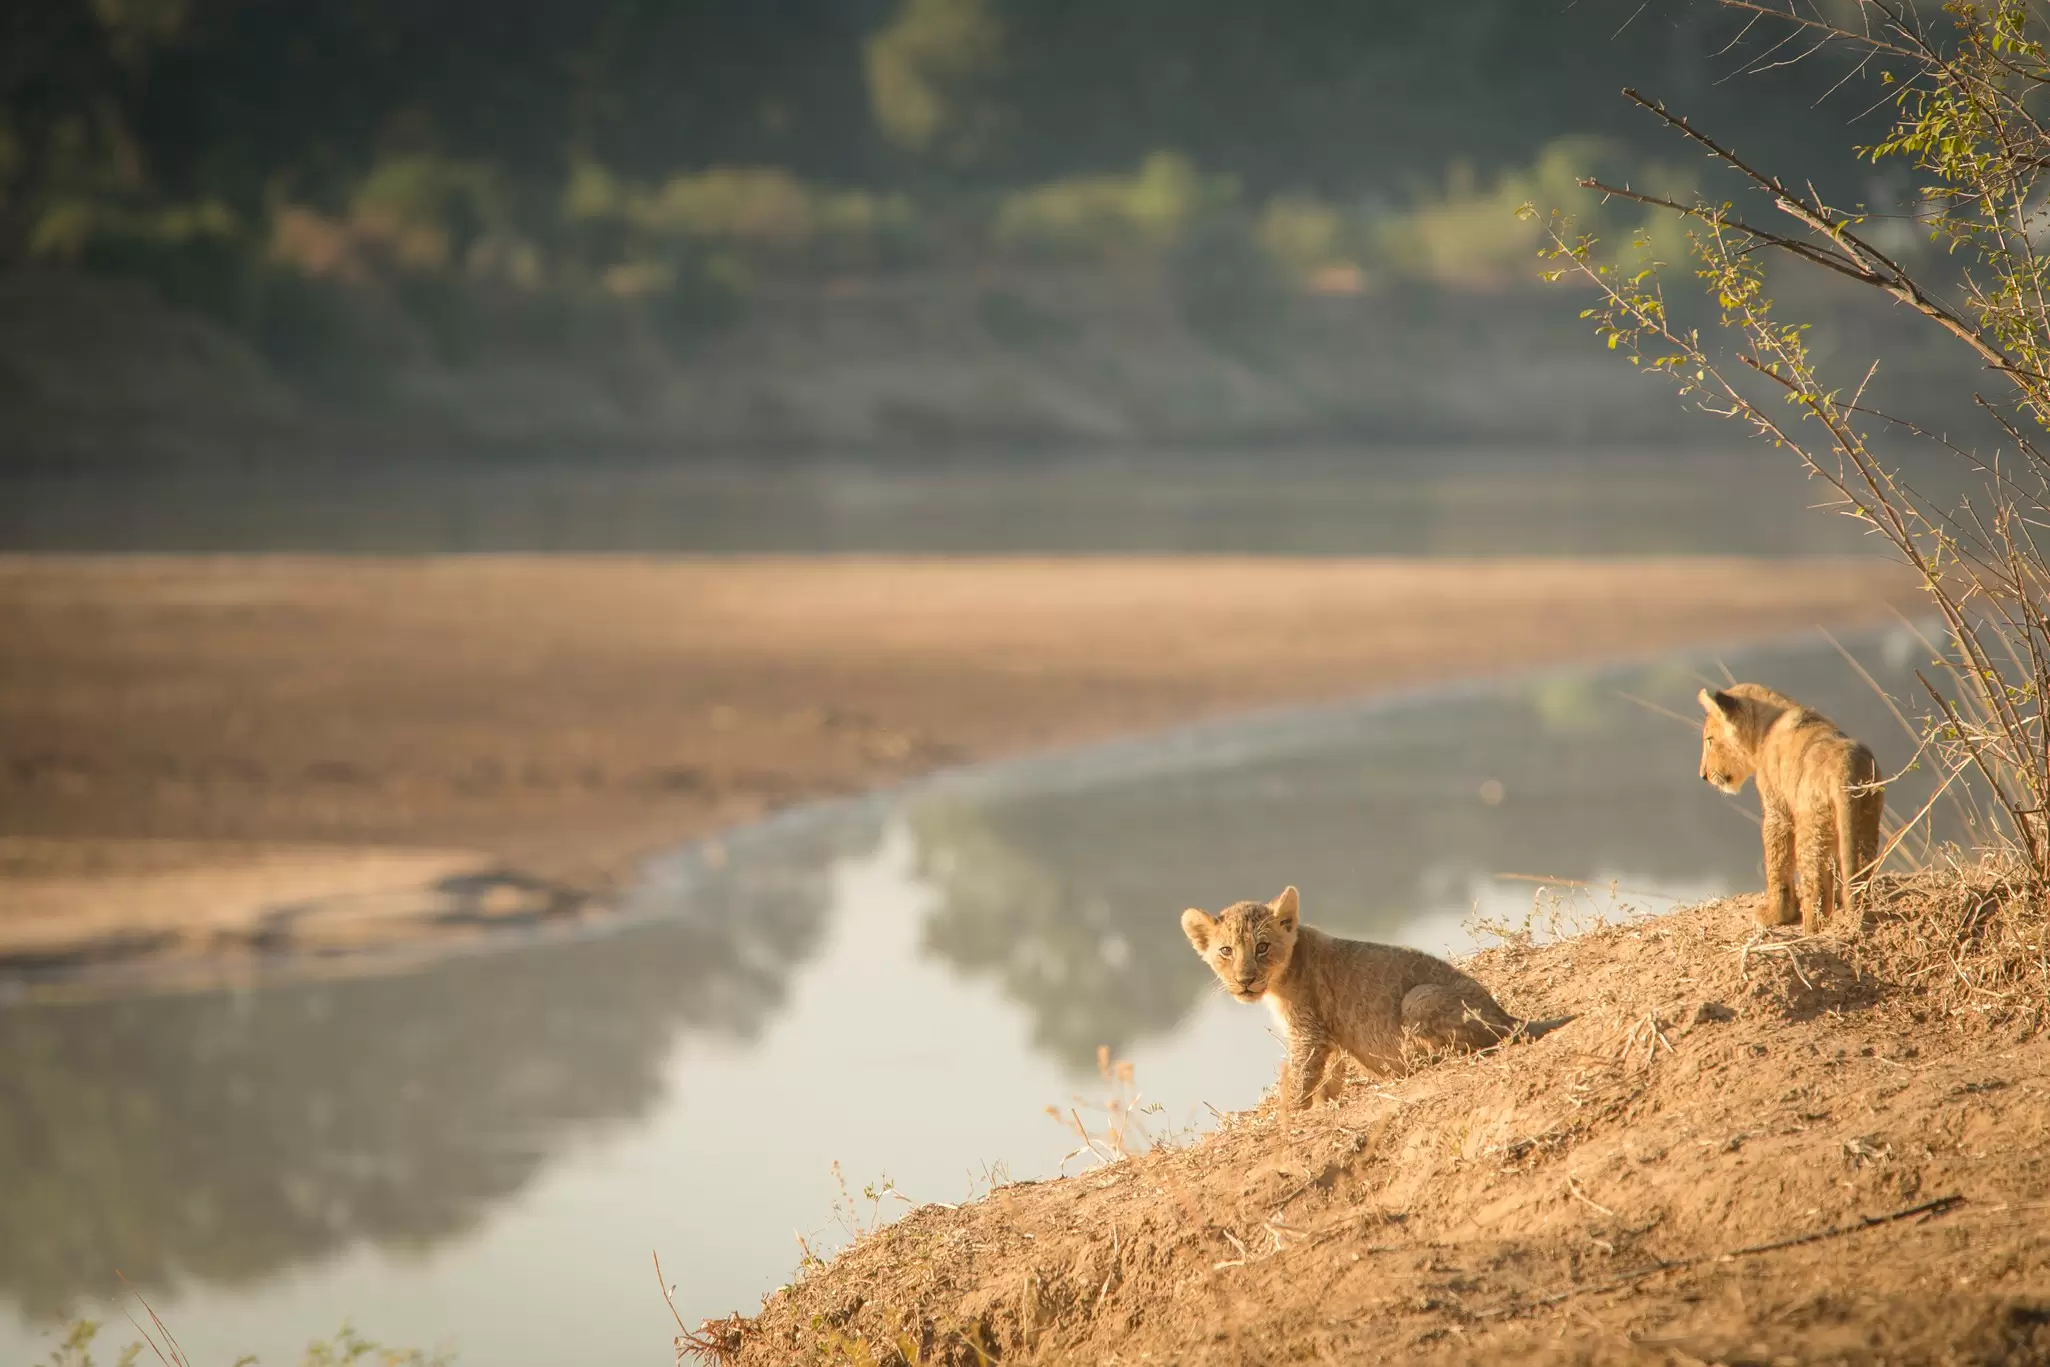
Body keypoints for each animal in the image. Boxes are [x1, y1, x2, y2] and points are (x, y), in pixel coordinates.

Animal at [1180, 886, 1567, 1109]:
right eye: (1226, 951)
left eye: (1261, 947)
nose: (1245, 980)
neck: (1282, 977)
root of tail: (1509, 1015)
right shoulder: (1330, 1032)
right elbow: (1333, 1070)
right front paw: (1326, 1100)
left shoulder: (1309, 1030)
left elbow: (1303, 1074)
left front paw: (1291, 1113)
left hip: (1418, 999)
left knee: (1477, 1045)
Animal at [1698, 682, 1884, 931]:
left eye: (1709, 739)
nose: (1703, 775)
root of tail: (1846, 765)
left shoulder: (1778, 811)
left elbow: (1777, 861)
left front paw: (1776, 914)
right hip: (1865, 823)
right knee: (1860, 871)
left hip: (1811, 829)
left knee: (1815, 885)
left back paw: (1811, 930)